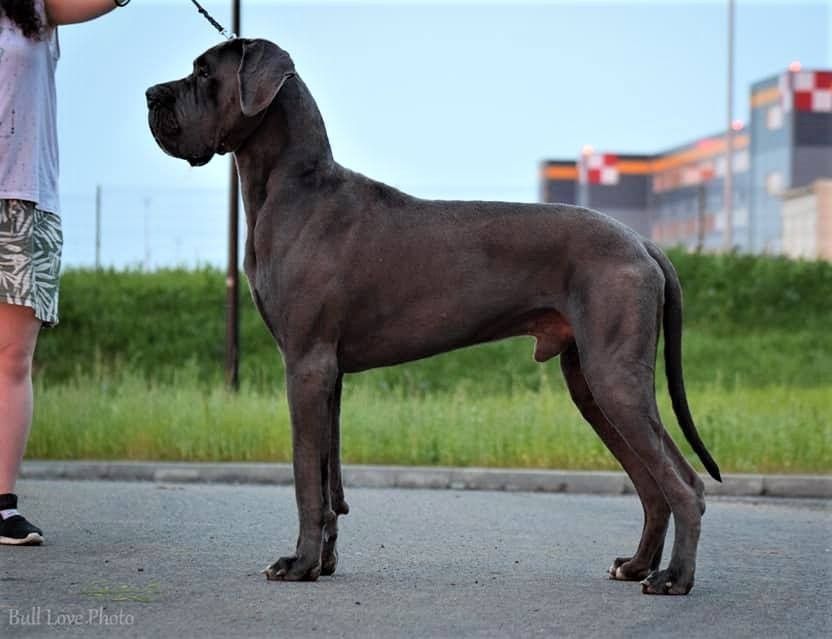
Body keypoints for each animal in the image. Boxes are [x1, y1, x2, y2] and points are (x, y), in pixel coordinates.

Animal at [146, 38, 721, 595]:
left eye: (204, 73)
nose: (151, 94)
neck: (294, 190)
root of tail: (642, 241)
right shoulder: (329, 372)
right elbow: (330, 478)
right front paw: (324, 562)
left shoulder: (306, 364)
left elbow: (306, 477)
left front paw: (300, 564)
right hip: (590, 383)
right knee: (652, 485)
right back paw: (638, 566)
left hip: (613, 376)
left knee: (685, 484)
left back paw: (674, 578)